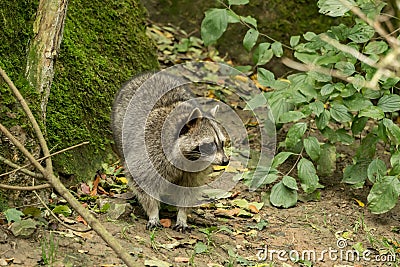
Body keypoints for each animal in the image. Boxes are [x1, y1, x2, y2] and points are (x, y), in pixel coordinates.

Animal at [111, 71, 230, 232]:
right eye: (209, 145)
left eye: (222, 143)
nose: (226, 161)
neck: (190, 159)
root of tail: (149, 74)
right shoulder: (151, 152)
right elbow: (142, 182)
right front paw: (153, 212)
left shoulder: (195, 170)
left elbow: (189, 189)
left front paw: (182, 215)